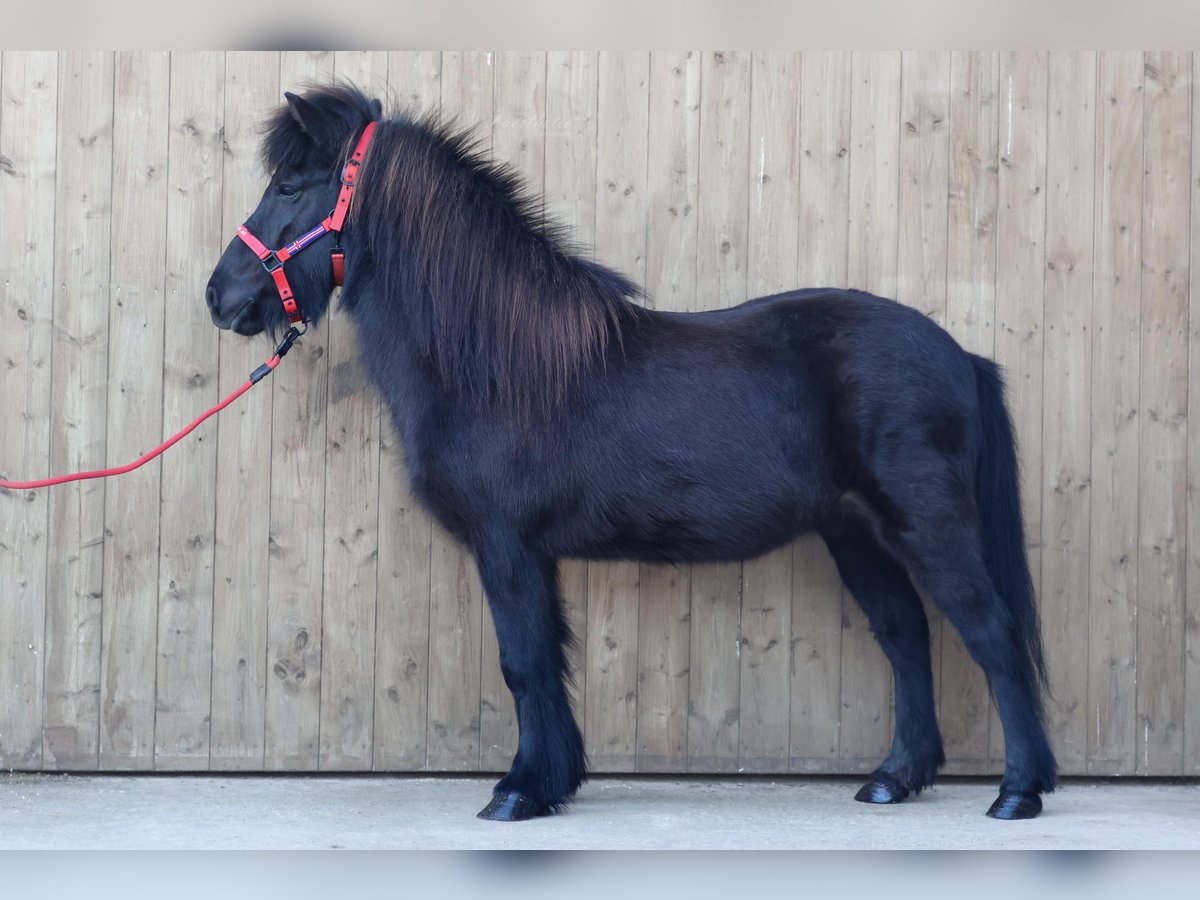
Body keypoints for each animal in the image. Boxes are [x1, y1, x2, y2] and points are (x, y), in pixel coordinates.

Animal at [208, 84, 1060, 825]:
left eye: (290, 184)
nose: (221, 296)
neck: (496, 362)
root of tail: (961, 357)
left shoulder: (506, 545)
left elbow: (523, 662)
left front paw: (519, 792)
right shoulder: (530, 552)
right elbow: (546, 659)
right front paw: (554, 780)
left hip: (928, 526)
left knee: (990, 632)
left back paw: (1019, 791)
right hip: (856, 535)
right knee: (906, 637)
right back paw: (895, 779)